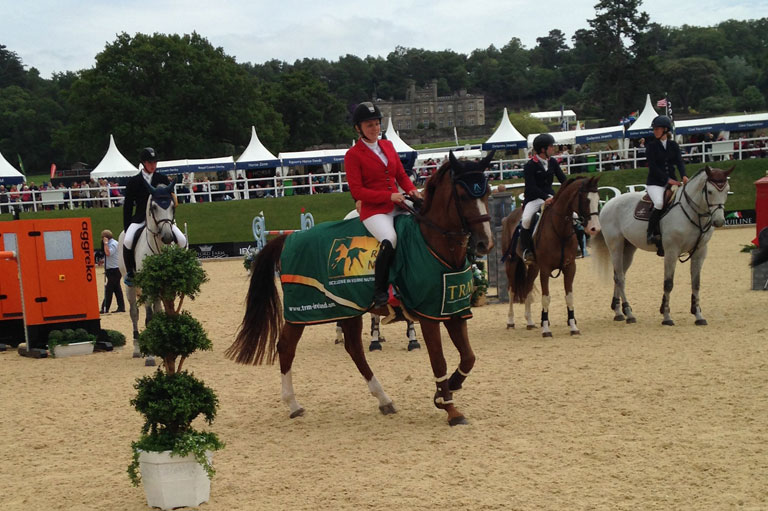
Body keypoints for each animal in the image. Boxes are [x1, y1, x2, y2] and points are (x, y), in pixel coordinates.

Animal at [225, 152, 496, 428]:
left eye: (486, 193)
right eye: (463, 196)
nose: (484, 243)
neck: (435, 244)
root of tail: (290, 238)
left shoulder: (453, 310)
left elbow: (469, 357)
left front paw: (448, 389)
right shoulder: (429, 315)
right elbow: (439, 361)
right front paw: (450, 408)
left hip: (348, 308)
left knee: (354, 349)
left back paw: (384, 399)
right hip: (303, 310)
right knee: (287, 346)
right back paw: (293, 404)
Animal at [500, 178, 604, 338]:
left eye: (597, 199)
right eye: (585, 200)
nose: (595, 228)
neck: (560, 230)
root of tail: (509, 216)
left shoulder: (570, 267)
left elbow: (569, 297)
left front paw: (573, 326)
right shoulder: (545, 269)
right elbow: (546, 298)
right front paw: (546, 329)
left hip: (534, 267)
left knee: (527, 288)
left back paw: (530, 321)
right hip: (512, 263)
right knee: (511, 290)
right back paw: (510, 321)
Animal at [592, 168, 732, 328]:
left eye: (726, 190)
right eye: (709, 191)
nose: (719, 221)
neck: (693, 213)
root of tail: (608, 204)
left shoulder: (699, 252)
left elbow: (696, 284)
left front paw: (698, 315)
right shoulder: (671, 251)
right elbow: (668, 283)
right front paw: (666, 316)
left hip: (628, 249)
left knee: (619, 275)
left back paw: (618, 312)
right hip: (615, 246)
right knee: (619, 278)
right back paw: (629, 313)